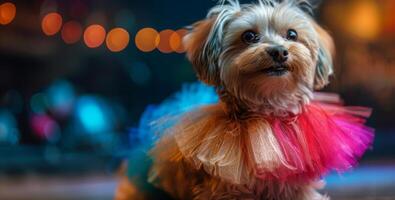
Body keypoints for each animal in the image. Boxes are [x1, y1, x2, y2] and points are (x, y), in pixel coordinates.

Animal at [120, 0, 374, 199]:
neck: (267, 117)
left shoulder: (299, 189)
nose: (279, 51)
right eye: (249, 36)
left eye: (292, 34)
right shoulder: (224, 191)